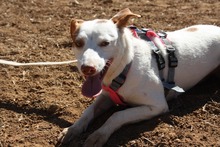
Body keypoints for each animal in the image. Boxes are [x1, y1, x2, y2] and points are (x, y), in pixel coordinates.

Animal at [58, 8, 220, 147]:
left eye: (105, 43)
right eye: (78, 43)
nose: (87, 68)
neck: (126, 67)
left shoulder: (157, 106)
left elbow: (118, 115)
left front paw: (99, 134)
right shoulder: (106, 96)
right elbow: (88, 111)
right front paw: (73, 129)